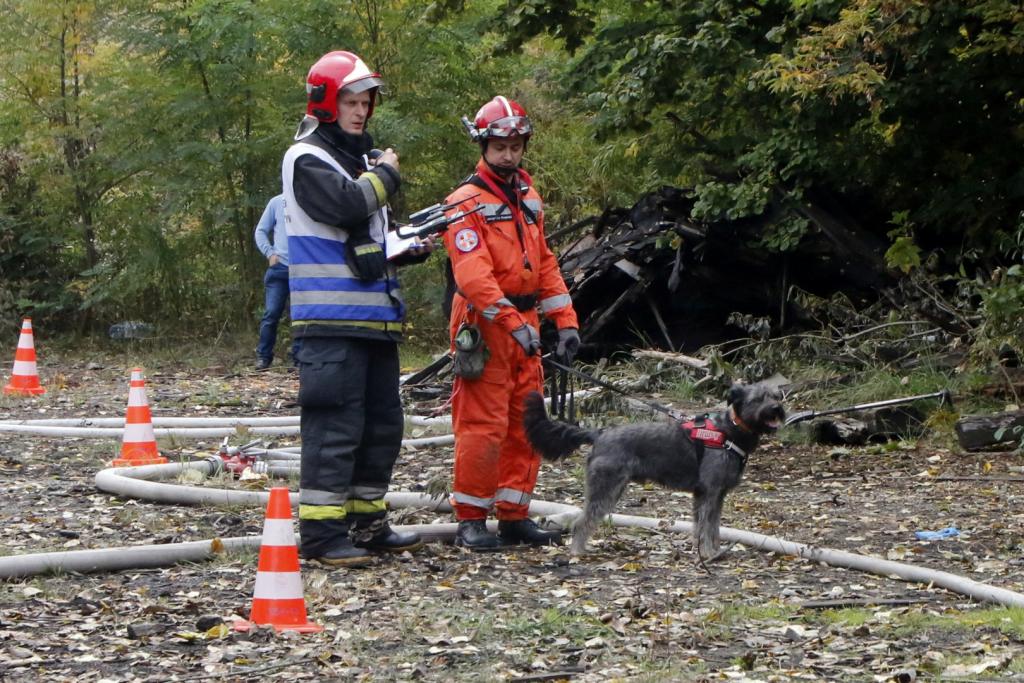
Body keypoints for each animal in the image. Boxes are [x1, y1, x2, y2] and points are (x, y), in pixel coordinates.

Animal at [523, 383, 785, 560]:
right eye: (758, 399)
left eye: (776, 395)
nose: (776, 409)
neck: (729, 431)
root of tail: (599, 433)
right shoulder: (710, 493)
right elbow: (706, 527)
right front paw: (710, 554)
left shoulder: (714, 495)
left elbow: (711, 527)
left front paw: (713, 550)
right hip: (605, 490)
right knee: (581, 521)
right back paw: (577, 552)